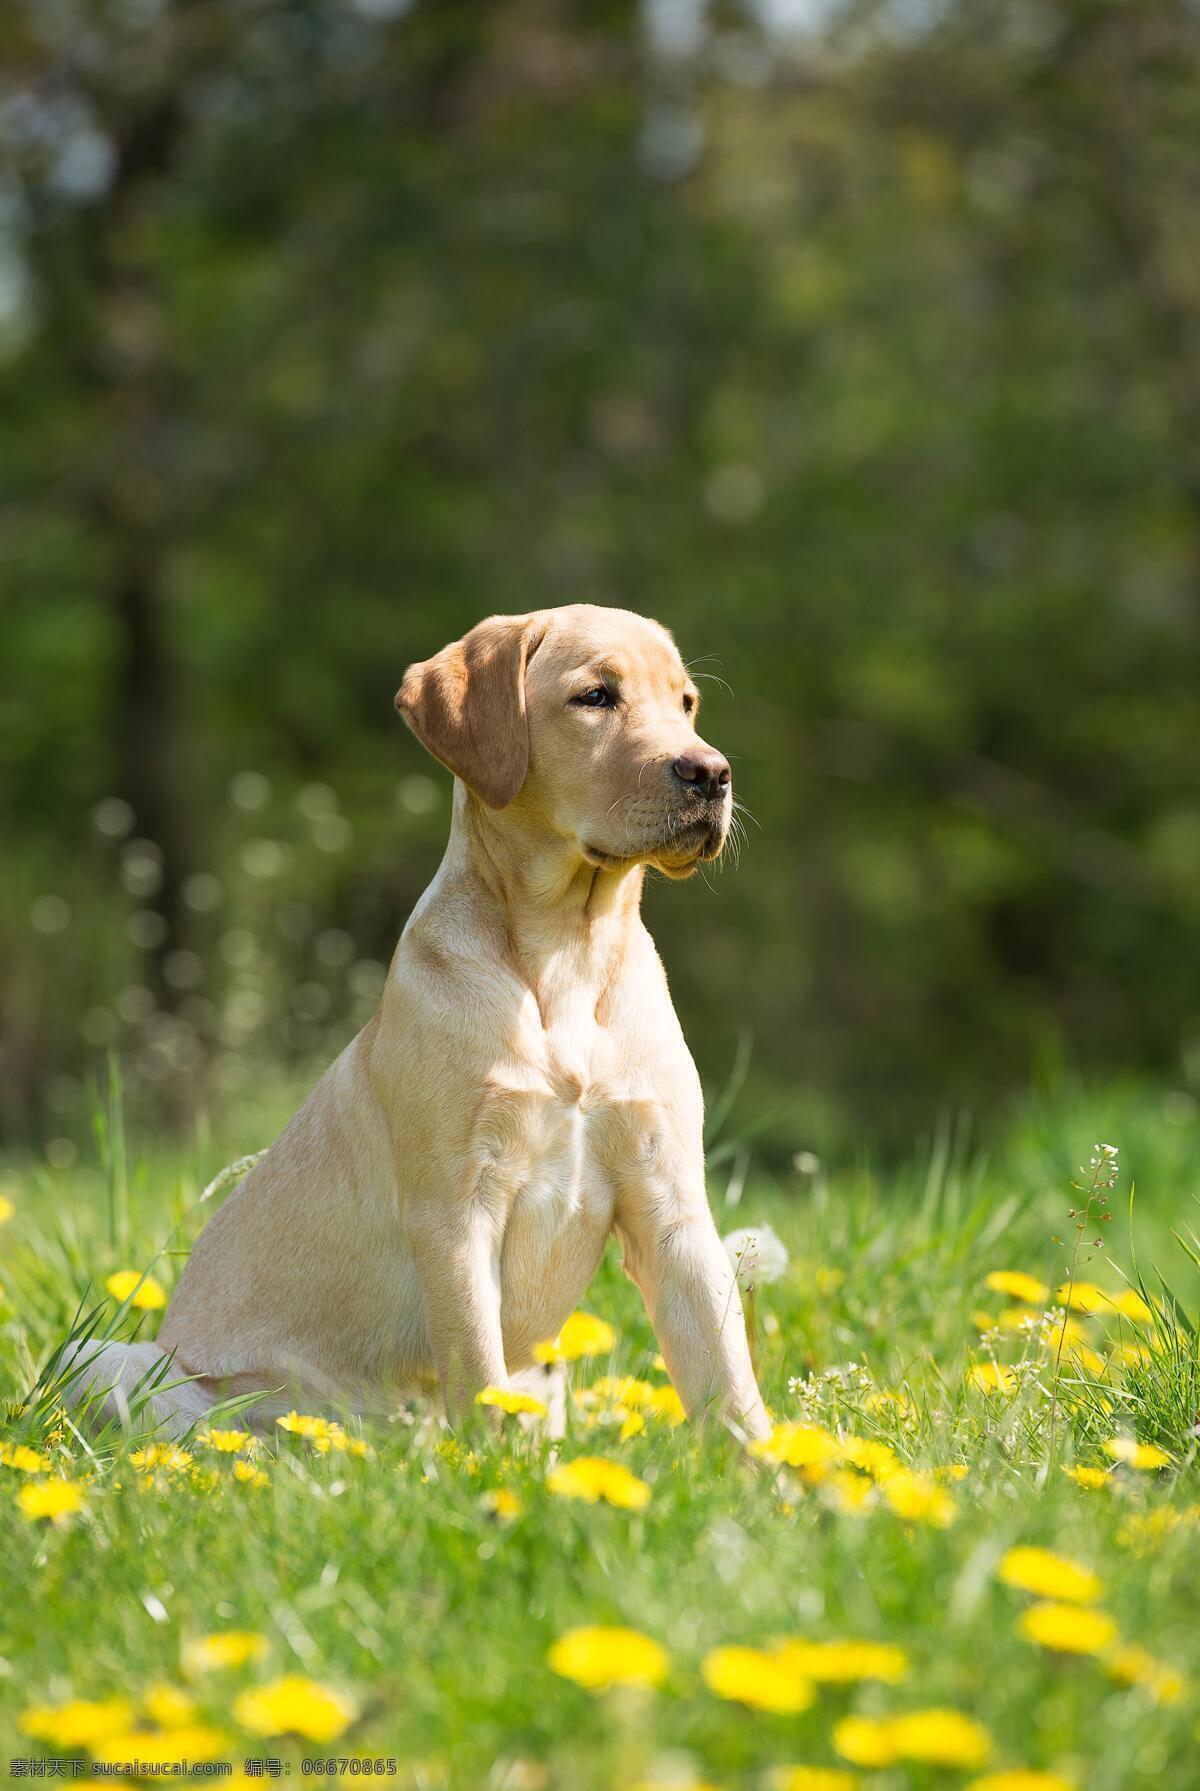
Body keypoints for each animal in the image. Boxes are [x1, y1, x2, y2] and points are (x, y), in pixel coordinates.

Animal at [68, 608, 770, 1447]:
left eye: (687, 702)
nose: (712, 772)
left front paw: (779, 1472)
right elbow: (477, 1363)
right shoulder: (455, 1208)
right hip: (104, 1359)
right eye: (596, 696)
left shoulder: (671, 1202)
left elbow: (728, 1376)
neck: (568, 953)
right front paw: (492, 1465)